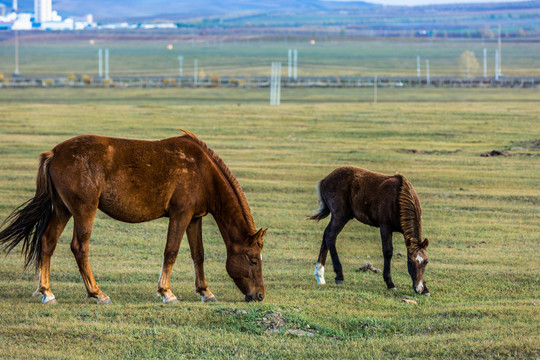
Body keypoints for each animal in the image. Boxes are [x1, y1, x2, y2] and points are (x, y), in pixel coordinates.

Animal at [1, 129, 266, 304]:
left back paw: (47, 292)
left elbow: (197, 254)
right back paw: (97, 293)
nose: (260, 295)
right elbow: (171, 251)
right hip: (84, 210)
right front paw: (166, 292)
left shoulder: (194, 218)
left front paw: (204, 291)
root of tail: (54, 153)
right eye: (253, 260)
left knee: (48, 243)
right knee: (80, 247)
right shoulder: (180, 215)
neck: (202, 170)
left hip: (62, 209)